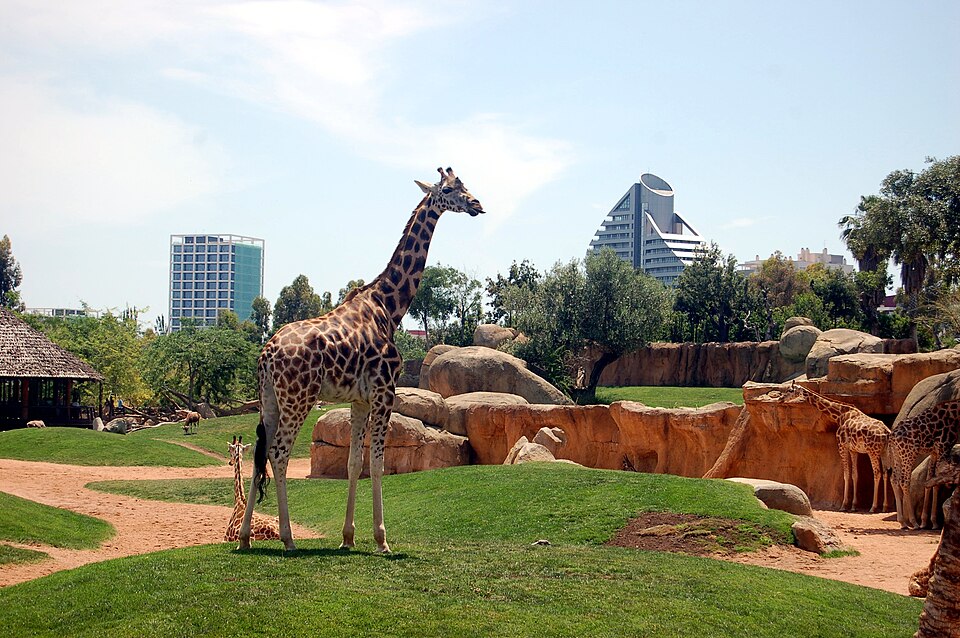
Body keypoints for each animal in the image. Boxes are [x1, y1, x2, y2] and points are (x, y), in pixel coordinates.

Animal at [239, 167, 484, 553]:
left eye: (464, 185)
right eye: (448, 190)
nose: (476, 204)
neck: (389, 306)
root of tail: (266, 355)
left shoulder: (359, 400)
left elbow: (354, 463)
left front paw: (348, 537)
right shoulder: (385, 392)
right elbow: (378, 463)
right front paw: (382, 540)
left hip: (269, 401)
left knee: (259, 455)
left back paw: (244, 537)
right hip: (298, 398)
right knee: (278, 453)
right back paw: (288, 538)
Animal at [784, 382, 891, 512]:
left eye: (790, 390)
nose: (781, 399)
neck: (840, 415)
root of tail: (886, 431)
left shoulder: (841, 445)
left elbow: (846, 474)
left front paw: (844, 505)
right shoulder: (853, 449)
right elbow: (855, 474)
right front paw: (854, 505)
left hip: (872, 451)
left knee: (877, 473)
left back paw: (873, 507)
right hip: (884, 452)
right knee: (885, 473)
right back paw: (885, 506)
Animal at [889, 399, 960, 530]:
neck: (955, 414)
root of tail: (892, 436)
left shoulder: (934, 452)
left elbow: (930, 481)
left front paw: (929, 521)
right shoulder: (943, 448)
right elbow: (937, 481)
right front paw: (928, 522)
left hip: (897, 455)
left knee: (894, 480)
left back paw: (902, 522)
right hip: (909, 454)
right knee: (904, 481)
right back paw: (913, 523)